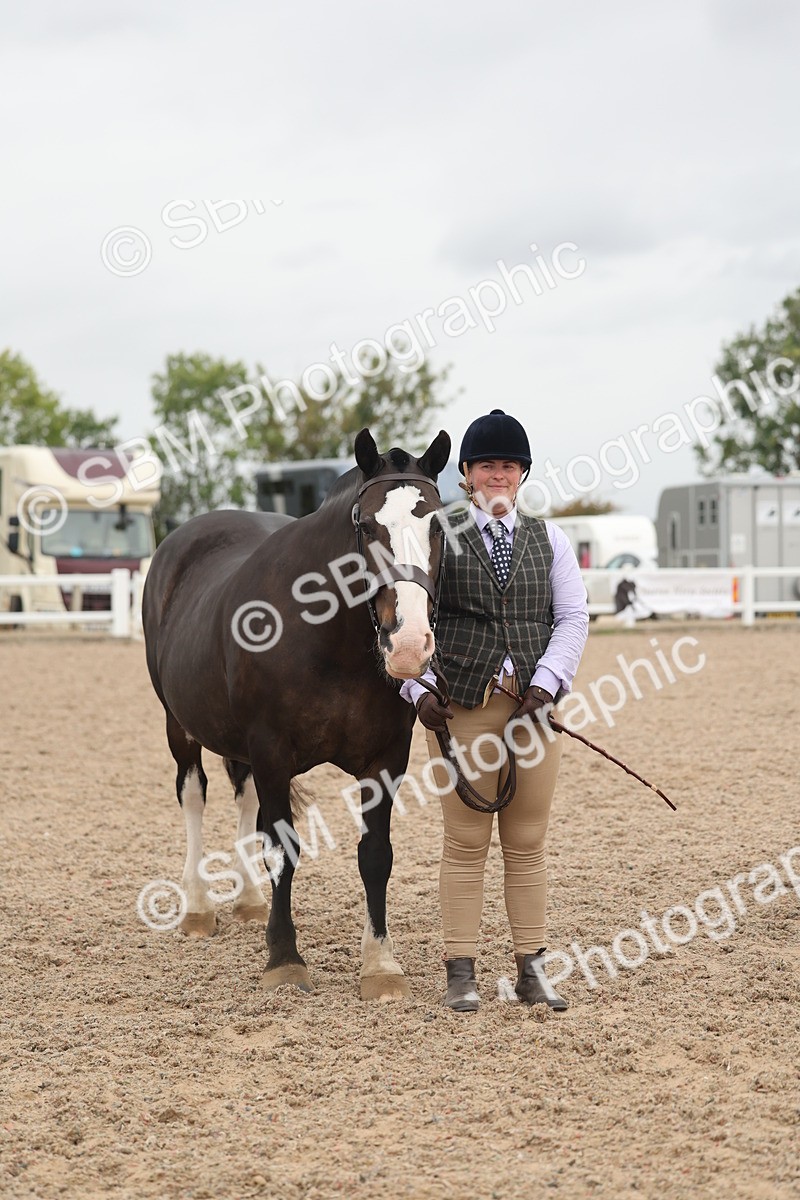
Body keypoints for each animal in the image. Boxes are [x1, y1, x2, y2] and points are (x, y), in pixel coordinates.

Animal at [142, 428, 451, 999]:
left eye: (438, 525)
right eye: (365, 525)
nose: (408, 644)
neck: (331, 641)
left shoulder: (386, 759)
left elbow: (375, 856)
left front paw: (380, 964)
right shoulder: (271, 750)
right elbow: (283, 849)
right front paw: (284, 957)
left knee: (243, 799)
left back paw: (248, 902)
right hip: (181, 726)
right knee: (193, 795)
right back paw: (198, 906)